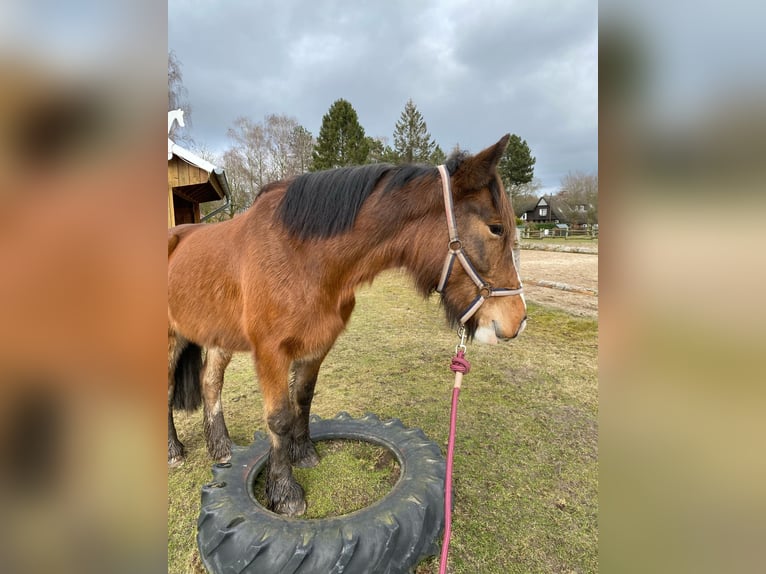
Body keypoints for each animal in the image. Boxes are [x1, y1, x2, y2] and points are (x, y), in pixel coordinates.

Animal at [168, 135, 528, 516]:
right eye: (496, 228)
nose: (517, 320)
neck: (300, 255)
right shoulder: (270, 353)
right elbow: (279, 417)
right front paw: (284, 491)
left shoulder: (316, 345)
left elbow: (302, 400)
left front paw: (303, 453)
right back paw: (174, 450)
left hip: (218, 336)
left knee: (210, 383)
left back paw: (221, 447)